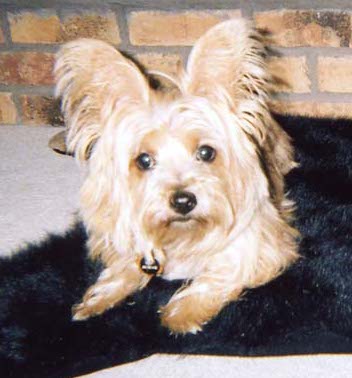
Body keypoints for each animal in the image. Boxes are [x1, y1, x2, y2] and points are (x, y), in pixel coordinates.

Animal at [55, 19, 300, 336]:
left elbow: (223, 271)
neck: (182, 235)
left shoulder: (264, 243)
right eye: (143, 160)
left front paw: (184, 311)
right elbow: (124, 264)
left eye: (206, 152)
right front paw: (99, 298)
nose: (183, 201)